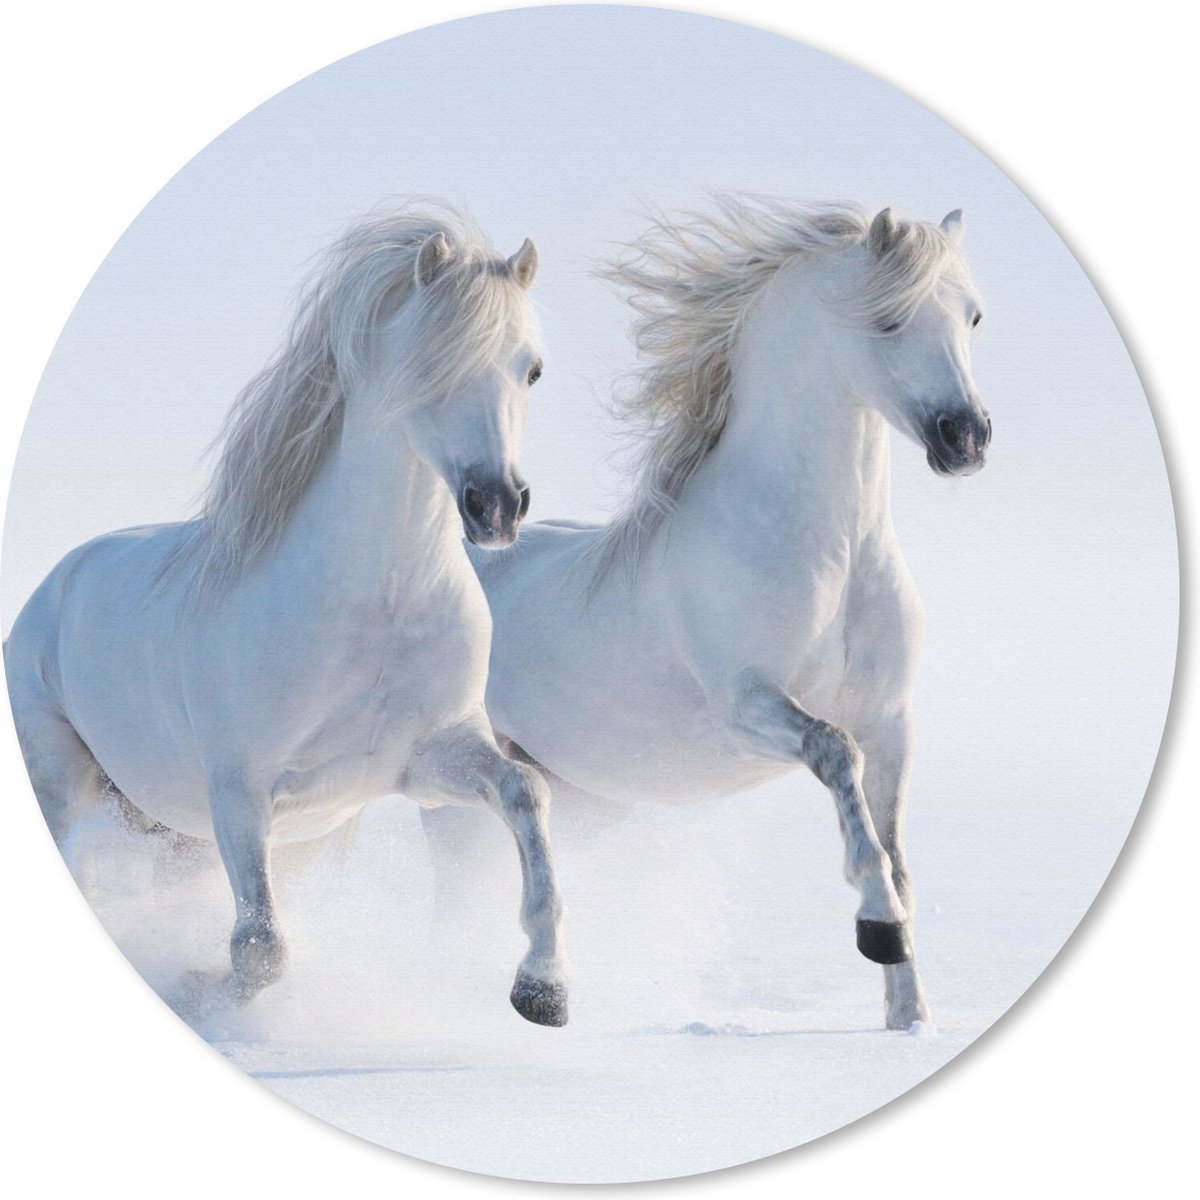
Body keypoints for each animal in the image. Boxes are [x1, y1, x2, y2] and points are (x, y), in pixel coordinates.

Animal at [5, 204, 569, 1027]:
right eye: (430, 365)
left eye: (531, 369)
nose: (496, 505)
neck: (376, 606)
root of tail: (53, 587)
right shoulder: (240, 794)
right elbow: (260, 949)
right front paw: (202, 994)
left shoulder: (427, 762)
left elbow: (526, 792)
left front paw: (543, 987)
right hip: (65, 783)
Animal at [425, 198, 991, 1032]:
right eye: (888, 320)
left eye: (972, 316)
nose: (967, 438)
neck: (834, 554)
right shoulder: (749, 706)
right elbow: (837, 759)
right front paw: (878, 930)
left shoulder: (892, 722)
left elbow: (897, 854)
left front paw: (909, 1018)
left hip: (584, 797)